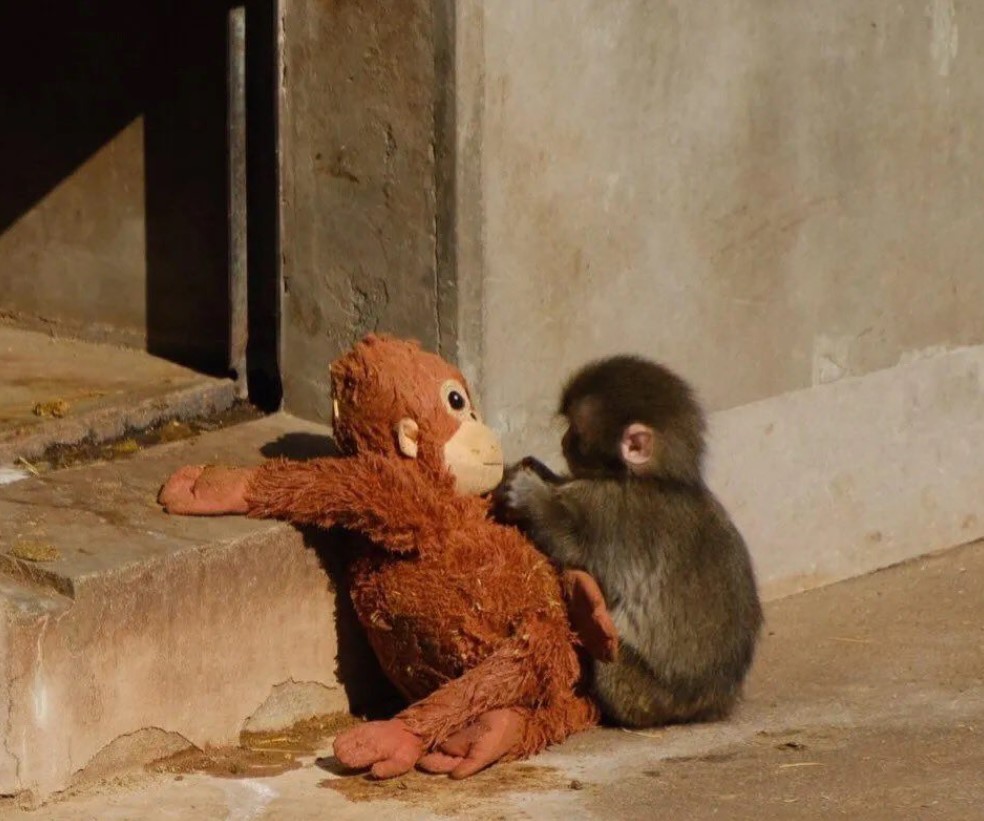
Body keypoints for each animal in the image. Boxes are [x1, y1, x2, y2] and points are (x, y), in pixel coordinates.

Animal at [493, 355, 763, 728]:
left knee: (609, 662)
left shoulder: (612, 511)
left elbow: (573, 547)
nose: (563, 441)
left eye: (576, 431)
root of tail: (709, 706)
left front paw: (530, 495)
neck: (657, 479)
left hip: (641, 694)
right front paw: (541, 471)